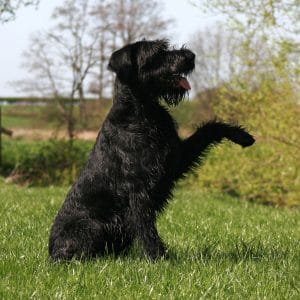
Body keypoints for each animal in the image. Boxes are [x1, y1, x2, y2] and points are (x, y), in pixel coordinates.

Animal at [48, 39, 254, 260]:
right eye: (156, 53)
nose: (191, 56)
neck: (143, 111)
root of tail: (51, 252)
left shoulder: (176, 158)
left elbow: (209, 128)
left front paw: (242, 136)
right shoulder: (139, 188)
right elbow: (146, 226)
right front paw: (159, 258)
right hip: (90, 227)